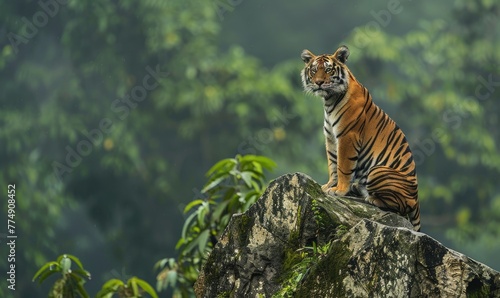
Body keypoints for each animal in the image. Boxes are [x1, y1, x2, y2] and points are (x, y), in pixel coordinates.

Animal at [300, 45, 422, 232]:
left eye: (328, 70)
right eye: (314, 70)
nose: (319, 82)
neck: (329, 101)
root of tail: (416, 199)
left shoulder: (347, 136)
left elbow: (343, 166)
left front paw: (339, 190)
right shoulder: (331, 138)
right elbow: (332, 164)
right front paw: (329, 186)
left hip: (378, 171)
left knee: (400, 206)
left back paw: (371, 198)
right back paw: (358, 188)